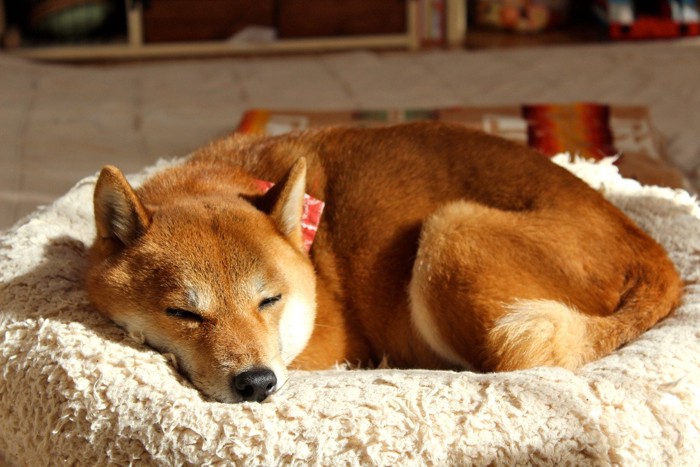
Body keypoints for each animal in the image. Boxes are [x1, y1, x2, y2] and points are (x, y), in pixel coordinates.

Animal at [85, 122, 680, 404]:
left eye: (269, 300)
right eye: (184, 314)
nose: (256, 383)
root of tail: (655, 256)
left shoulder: (328, 344)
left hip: (450, 233)